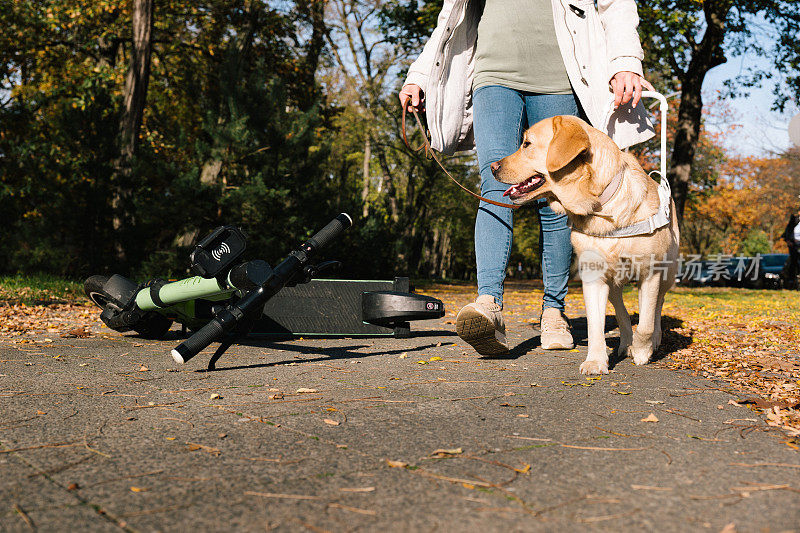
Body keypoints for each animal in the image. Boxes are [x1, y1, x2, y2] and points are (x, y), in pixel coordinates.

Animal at [494, 116, 680, 374]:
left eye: (527, 144)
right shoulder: (593, 277)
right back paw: (626, 343)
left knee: (655, 308)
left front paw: (643, 351)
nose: (493, 167)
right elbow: (595, 326)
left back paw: (653, 340)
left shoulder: (650, 273)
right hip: (613, 283)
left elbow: (645, 322)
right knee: (622, 312)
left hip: (667, 274)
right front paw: (595, 361)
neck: (600, 205)